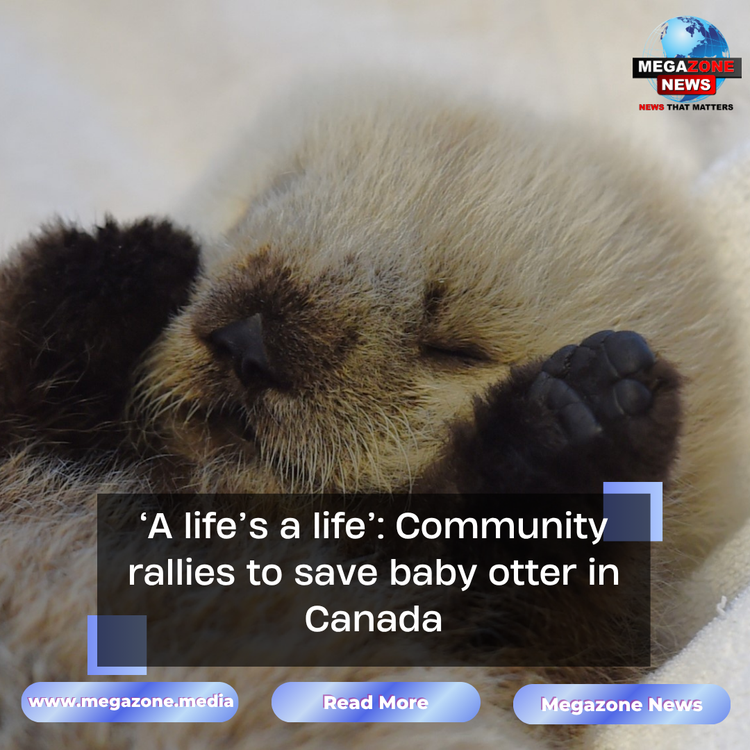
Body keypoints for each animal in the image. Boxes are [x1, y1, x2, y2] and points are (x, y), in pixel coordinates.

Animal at [0, 78, 744, 749]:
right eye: (253, 212)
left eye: (455, 346)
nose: (248, 340)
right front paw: (119, 264)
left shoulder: (529, 658)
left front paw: (578, 420)